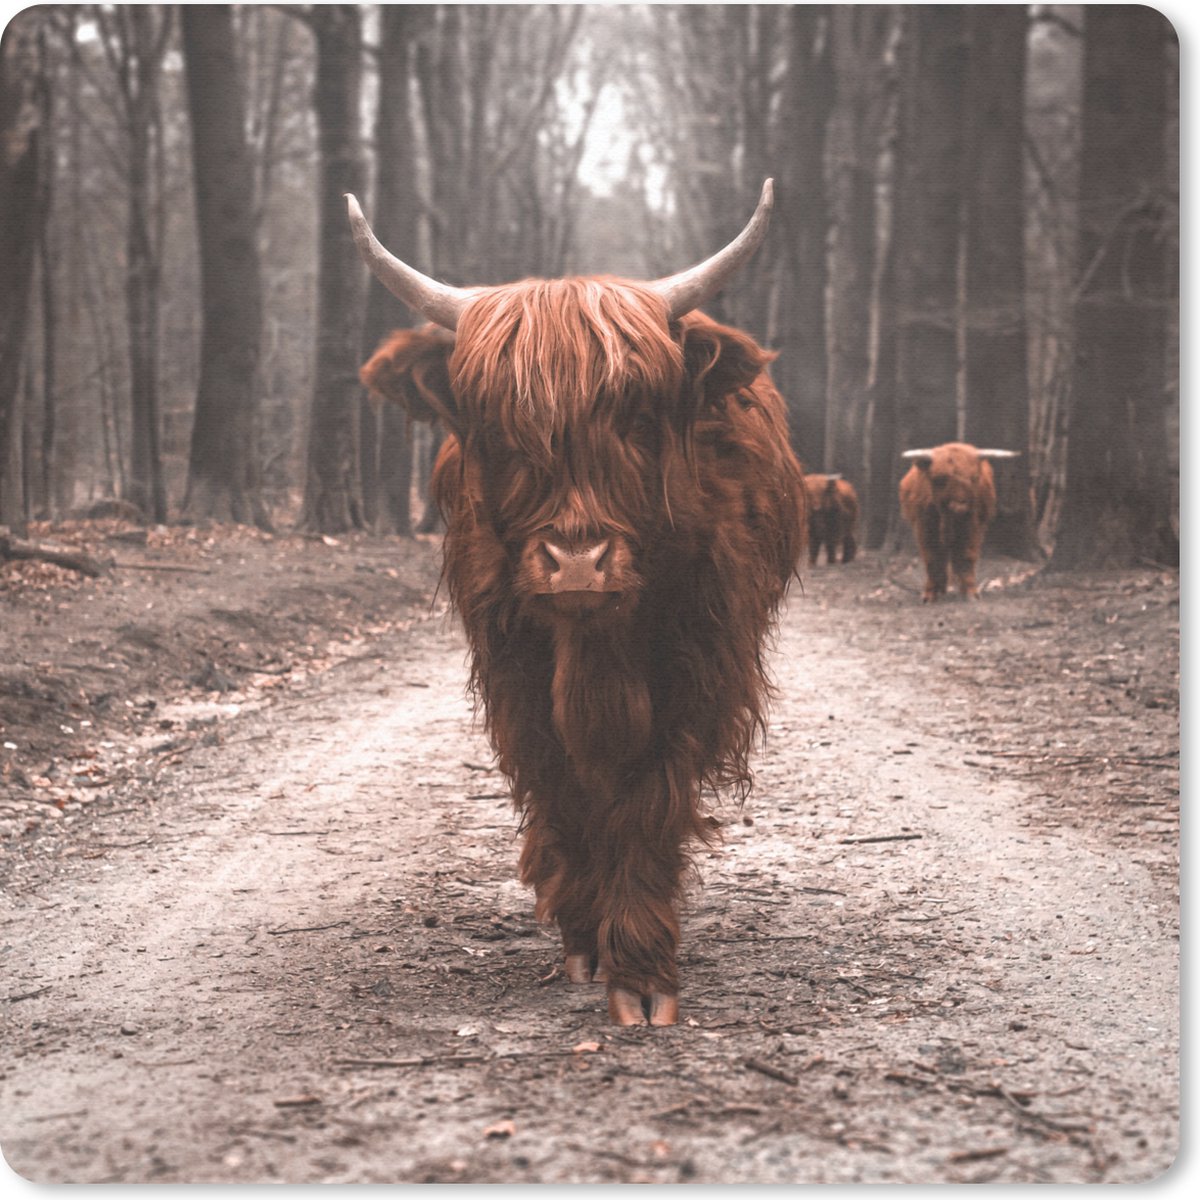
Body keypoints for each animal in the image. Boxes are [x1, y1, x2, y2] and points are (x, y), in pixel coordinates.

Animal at [351, 181, 807, 1025]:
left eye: (636, 417)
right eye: (498, 428)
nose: (576, 564)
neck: (595, 650)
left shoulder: (696, 669)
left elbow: (647, 798)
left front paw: (642, 970)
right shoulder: (516, 673)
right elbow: (563, 790)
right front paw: (585, 939)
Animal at [898, 442, 1017, 602]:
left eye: (974, 478)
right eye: (939, 479)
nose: (960, 506)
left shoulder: (972, 528)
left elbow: (966, 556)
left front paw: (971, 593)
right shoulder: (925, 528)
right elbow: (932, 558)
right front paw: (930, 594)